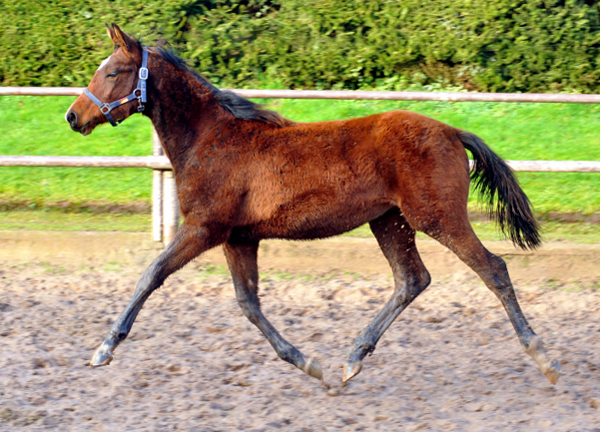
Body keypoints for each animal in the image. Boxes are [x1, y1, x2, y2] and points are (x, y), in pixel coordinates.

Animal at [63, 23, 560, 384]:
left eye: (112, 72)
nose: (72, 116)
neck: (211, 138)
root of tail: (452, 131)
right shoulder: (238, 238)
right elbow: (249, 303)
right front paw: (309, 364)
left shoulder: (204, 228)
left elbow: (151, 275)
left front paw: (104, 349)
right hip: (389, 222)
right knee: (412, 280)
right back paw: (352, 359)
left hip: (437, 216)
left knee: (493, 268)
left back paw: (543, 358)